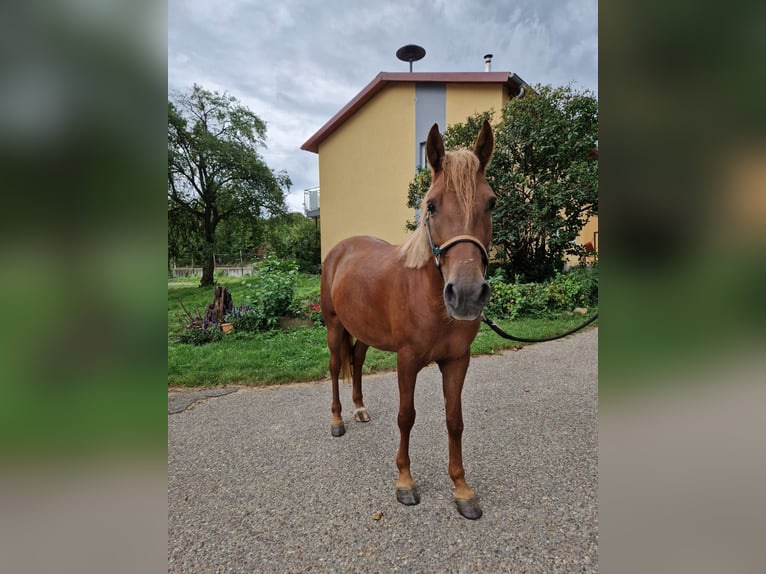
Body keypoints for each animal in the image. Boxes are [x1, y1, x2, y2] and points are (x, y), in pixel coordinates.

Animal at [320, 120, 496, 519]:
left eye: (492, 202)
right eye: (431, 205)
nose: (466, 293)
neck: (430, 299)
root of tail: (340, 249)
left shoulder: (457, 361)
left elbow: (454, 420)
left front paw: (462, 490)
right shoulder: (407, 360)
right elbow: (406, 416)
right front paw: (405, 482)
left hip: (363, 330)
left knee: (356, 360)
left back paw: (360, 409)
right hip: (335, 326)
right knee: (337, 367)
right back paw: (338, 420)